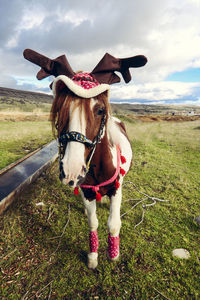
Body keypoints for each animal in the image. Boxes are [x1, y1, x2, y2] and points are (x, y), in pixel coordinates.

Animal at [50, 88, 132, 268]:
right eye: (60, 109)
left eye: (100, 110)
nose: (71, 170)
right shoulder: (87, 192)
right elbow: (93, 222)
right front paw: (93, 256)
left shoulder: (116, 189)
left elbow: (113, 224)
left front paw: (113, 254)